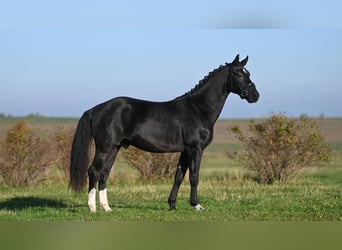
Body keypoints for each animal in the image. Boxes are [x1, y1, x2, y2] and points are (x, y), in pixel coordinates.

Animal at [69, 54, 260, 211]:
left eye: (248, 73)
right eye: (239, 74)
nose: (255, 95)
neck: (198, 109)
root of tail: (96, 109)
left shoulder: (185, 150)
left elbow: (179, 176)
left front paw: (172, 204)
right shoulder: (195, 148)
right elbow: (194, 176)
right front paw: (196, 205)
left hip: (114, 148)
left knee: (104, 174)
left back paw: (107, 208)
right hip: (104, 148)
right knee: (94, 171)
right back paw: (92, 208)